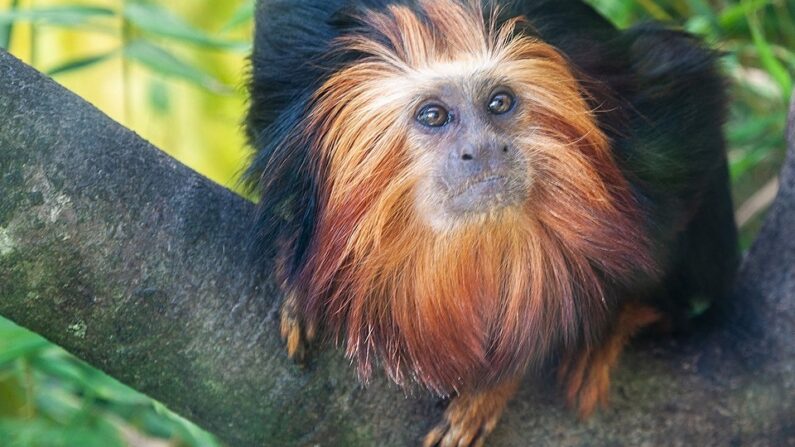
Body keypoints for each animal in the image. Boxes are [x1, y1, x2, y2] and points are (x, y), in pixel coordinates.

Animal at [243, 1, 740, 446]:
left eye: (499, 103)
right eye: (434, 115)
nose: (483, 148)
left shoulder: (638, 119)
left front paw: (509, 375)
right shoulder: (286, 64)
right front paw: (298, 278)